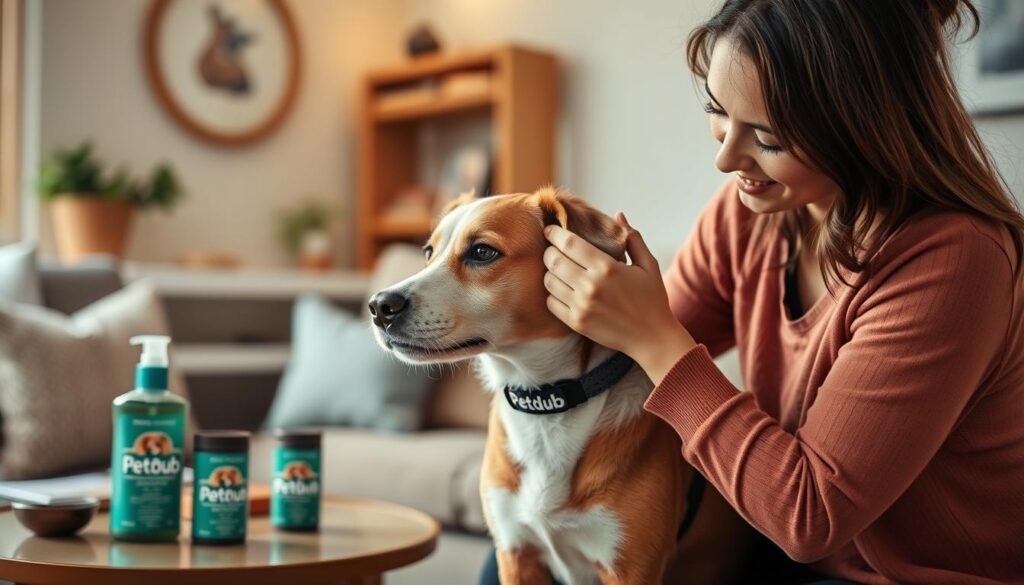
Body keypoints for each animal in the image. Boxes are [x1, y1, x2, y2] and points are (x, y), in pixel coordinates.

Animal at [370, 188, 753, 585]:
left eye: (482, 252)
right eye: (428, 252)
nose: (380, 305)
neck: (546, 402)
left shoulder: (631, 568)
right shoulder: (516, 554)